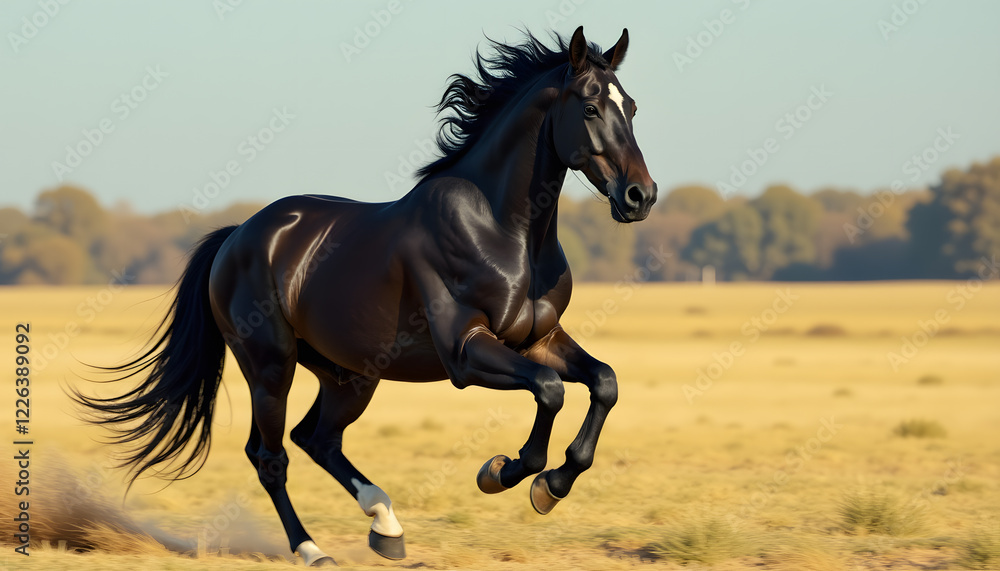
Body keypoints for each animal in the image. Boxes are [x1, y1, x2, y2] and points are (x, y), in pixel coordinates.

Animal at [76, 26, 657, 566]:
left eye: (631, 106)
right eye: (589, 107)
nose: (640, 197)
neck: (501, 230)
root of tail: (238, 235)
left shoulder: (540, 339)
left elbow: (603, 382)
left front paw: (551, 486)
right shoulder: (467, 351)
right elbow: (550, 391)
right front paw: (504, 473)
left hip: (349, 375)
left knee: (317, 439)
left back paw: (387, 527)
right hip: (270, 366)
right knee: (271, 456)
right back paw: (313, 550)